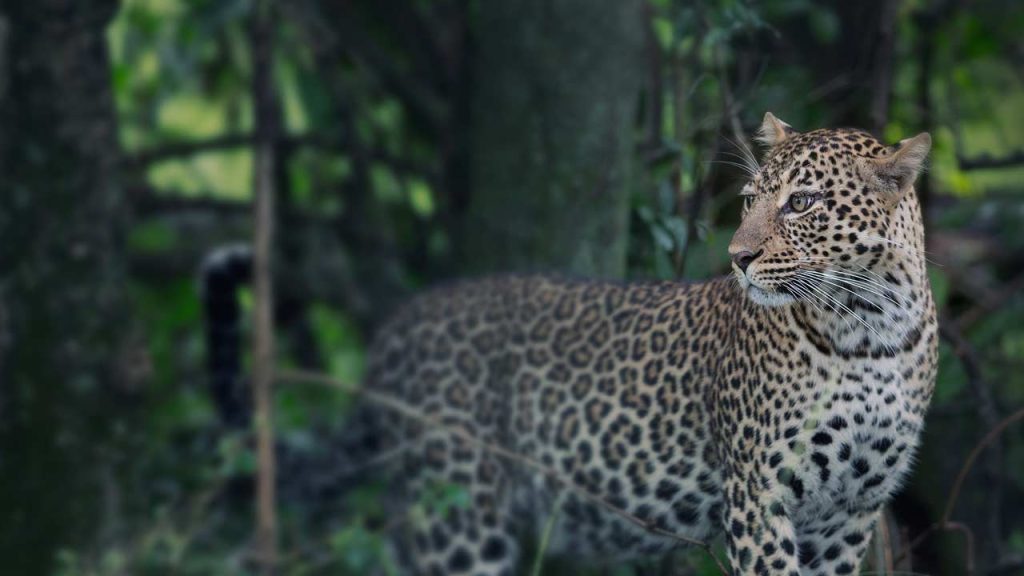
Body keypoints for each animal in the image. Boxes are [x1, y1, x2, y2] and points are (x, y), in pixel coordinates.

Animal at [361, 113, 938, 575]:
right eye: (750, 199)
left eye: (801, 202)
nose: (738, 257)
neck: (870, 329)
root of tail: (403, 319)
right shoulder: (759, 496)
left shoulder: (849, 512)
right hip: (456, 510)